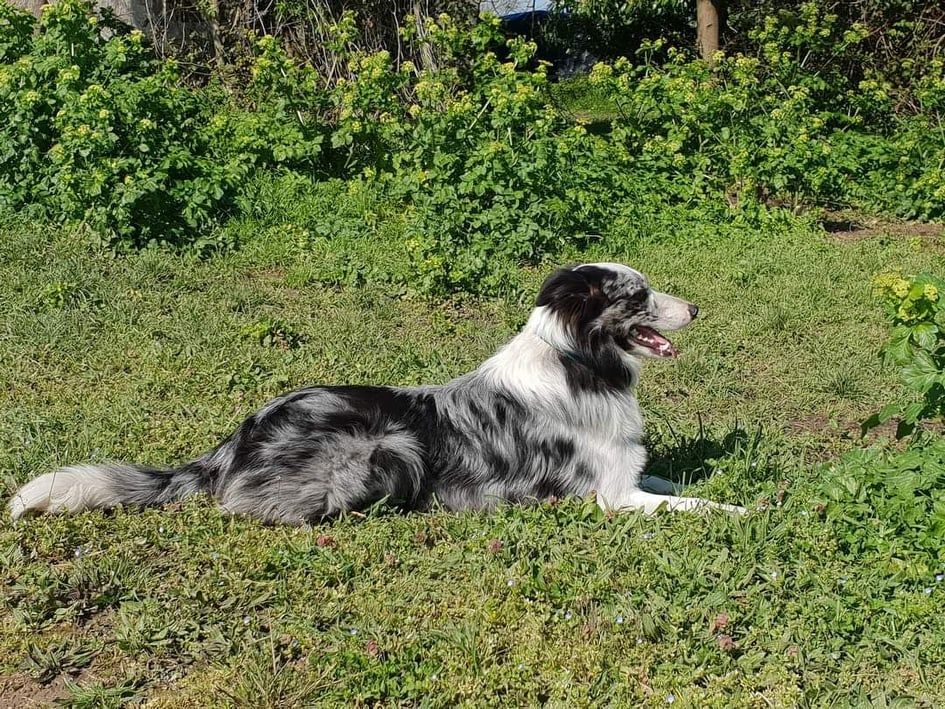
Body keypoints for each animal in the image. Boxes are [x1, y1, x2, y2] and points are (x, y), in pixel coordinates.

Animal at [9, 262, 744, 524]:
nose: (698, 308)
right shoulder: (612, 498)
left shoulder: (628, 470)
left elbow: (671, 476)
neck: (578, 361)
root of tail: (236, 439)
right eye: (640, 295)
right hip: (385, 446)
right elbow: (693, 504)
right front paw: (747, 508)